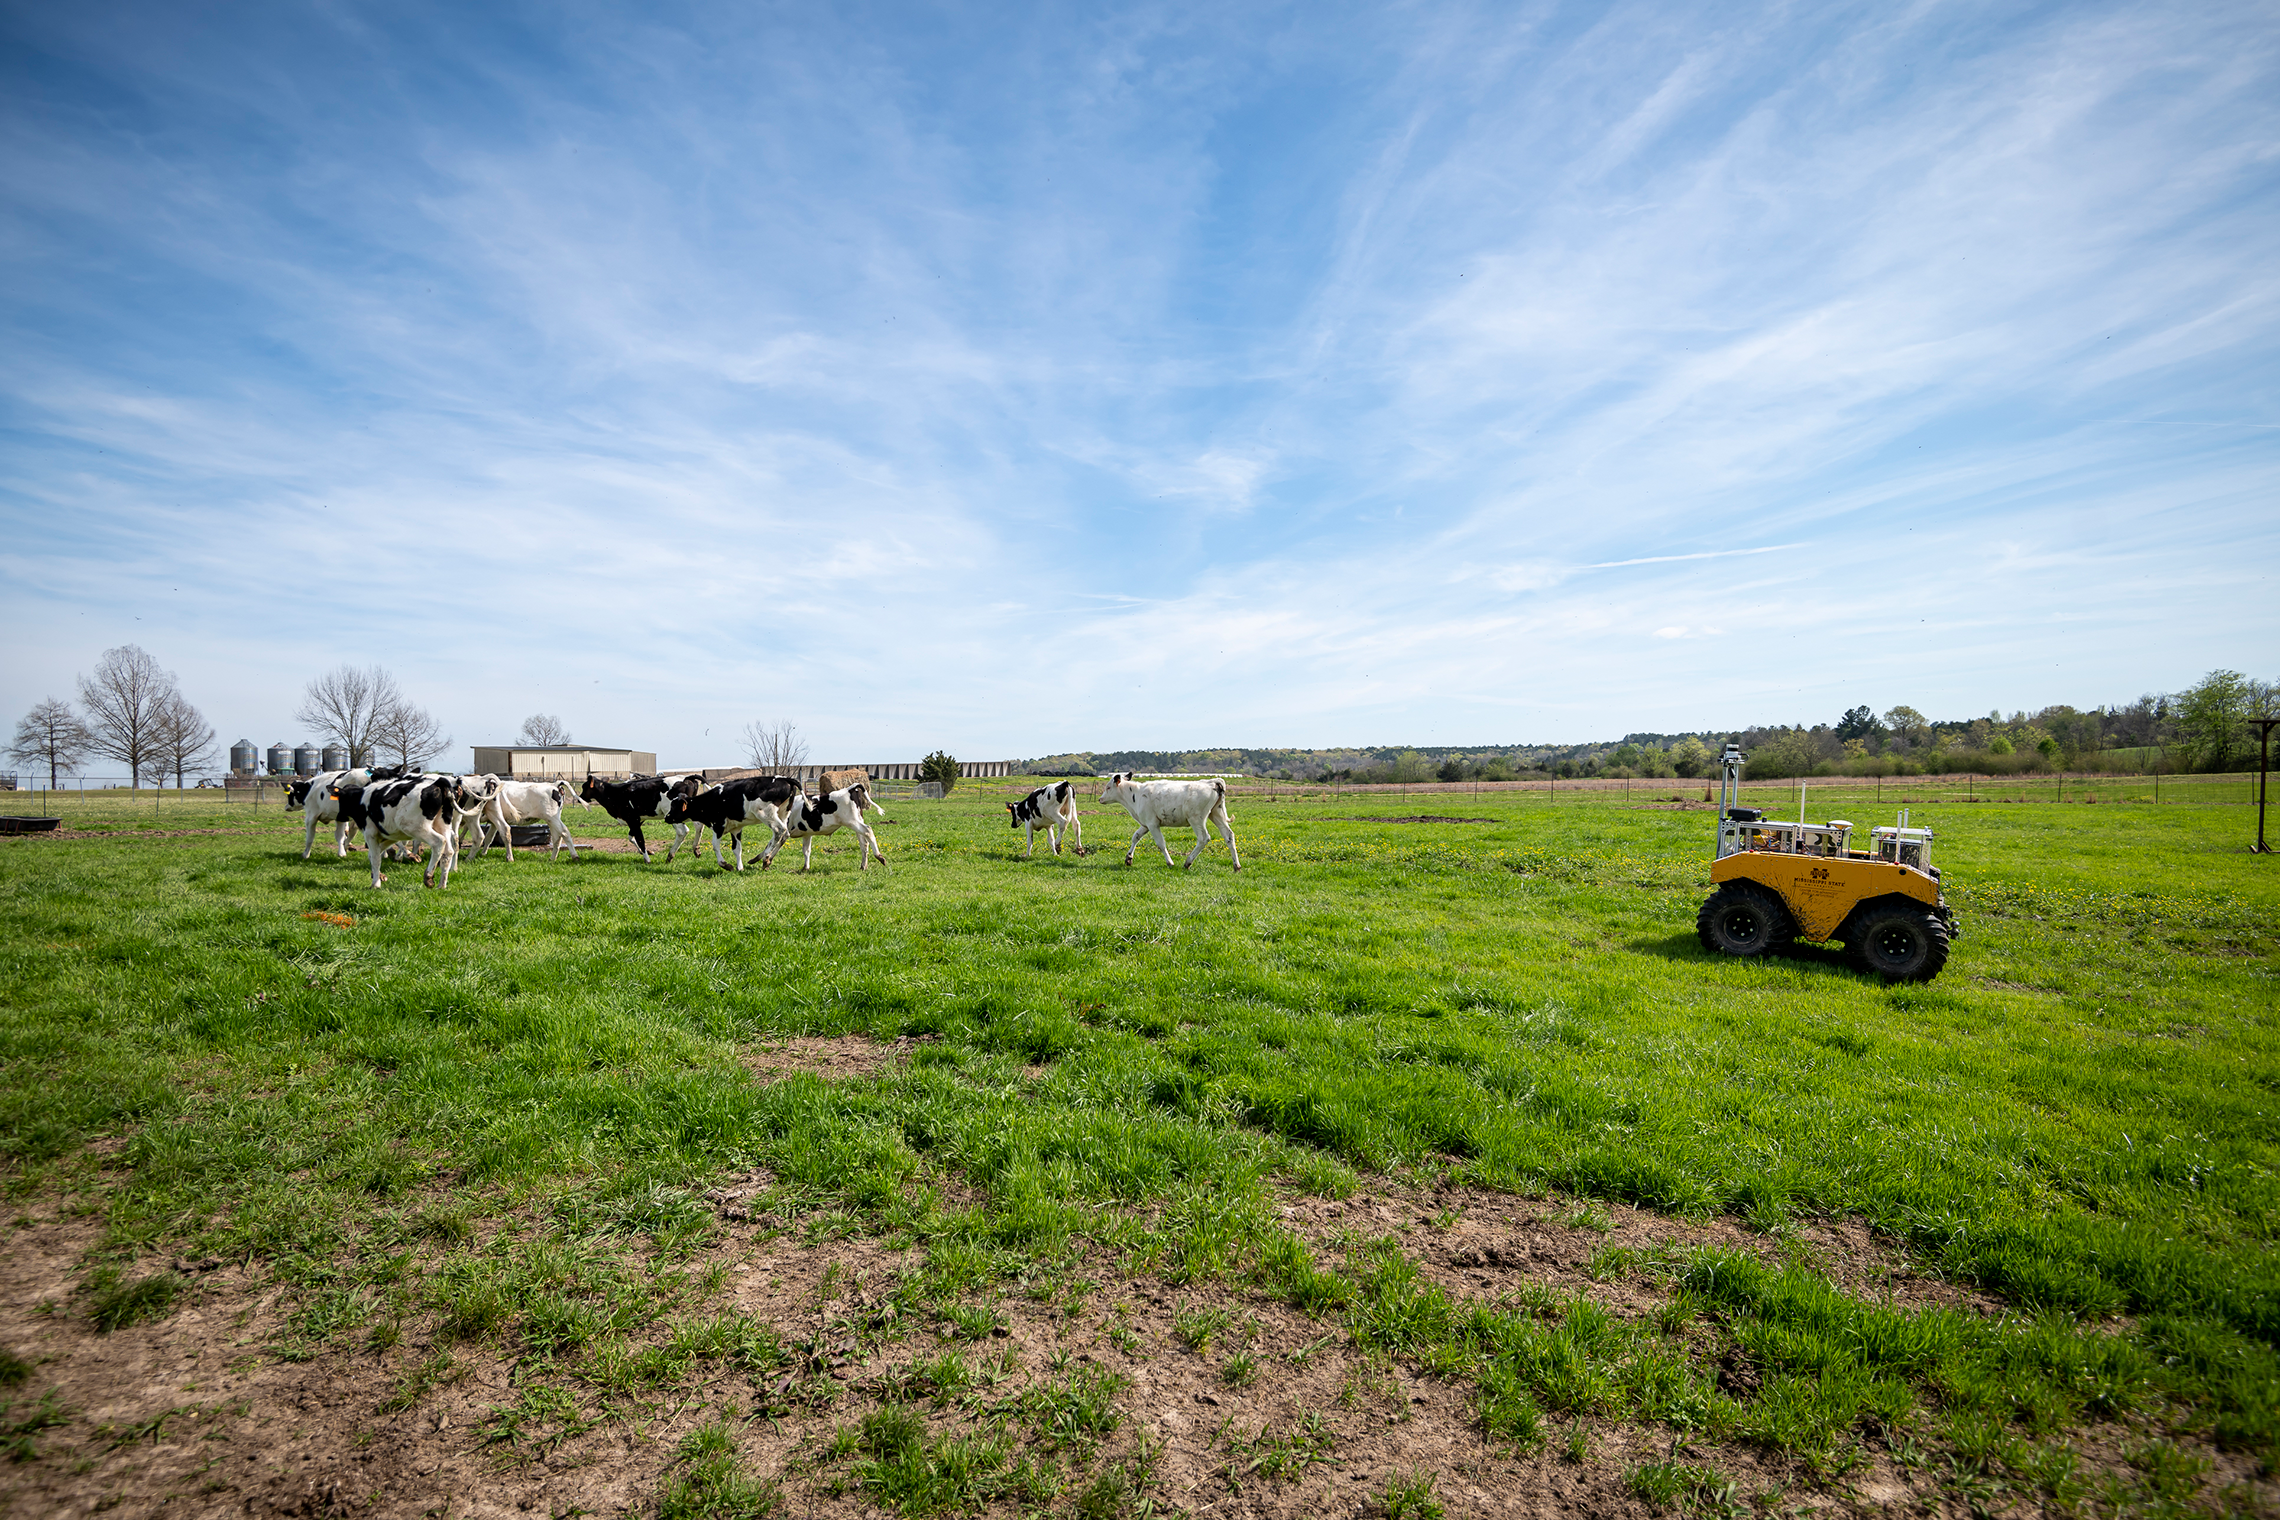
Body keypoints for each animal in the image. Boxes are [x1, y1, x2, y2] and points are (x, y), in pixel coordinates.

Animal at [1094, 779, 1240, 875]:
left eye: (1108, 787)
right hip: (1216, 814)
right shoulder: (1146, 824)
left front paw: (1170, 862)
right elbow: (1135, 837)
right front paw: (1128, 858)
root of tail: (1212, 782)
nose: (1100, 799)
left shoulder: (1153, 824)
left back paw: (1187, 863)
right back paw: (1236, 866)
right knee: (1228, 836)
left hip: (1196, 819)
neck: (1136, 794)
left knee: (1204, 838)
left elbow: (1161, 843)